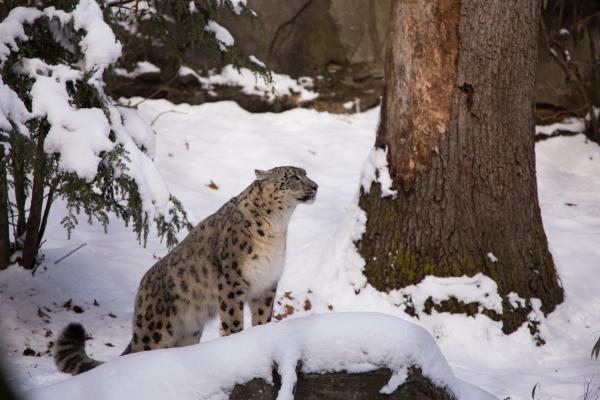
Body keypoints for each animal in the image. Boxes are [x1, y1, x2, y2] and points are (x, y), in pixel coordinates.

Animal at [54, 166, 318, 376]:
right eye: (293, 176)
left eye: (305, 173)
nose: (315, 186)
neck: (277, 228)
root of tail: (141, 291)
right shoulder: (232, 282)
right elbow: (233, 319)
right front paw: (236, 343)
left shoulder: (267, 283)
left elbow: (263, 317)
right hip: (154, 330)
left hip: (188, 332)